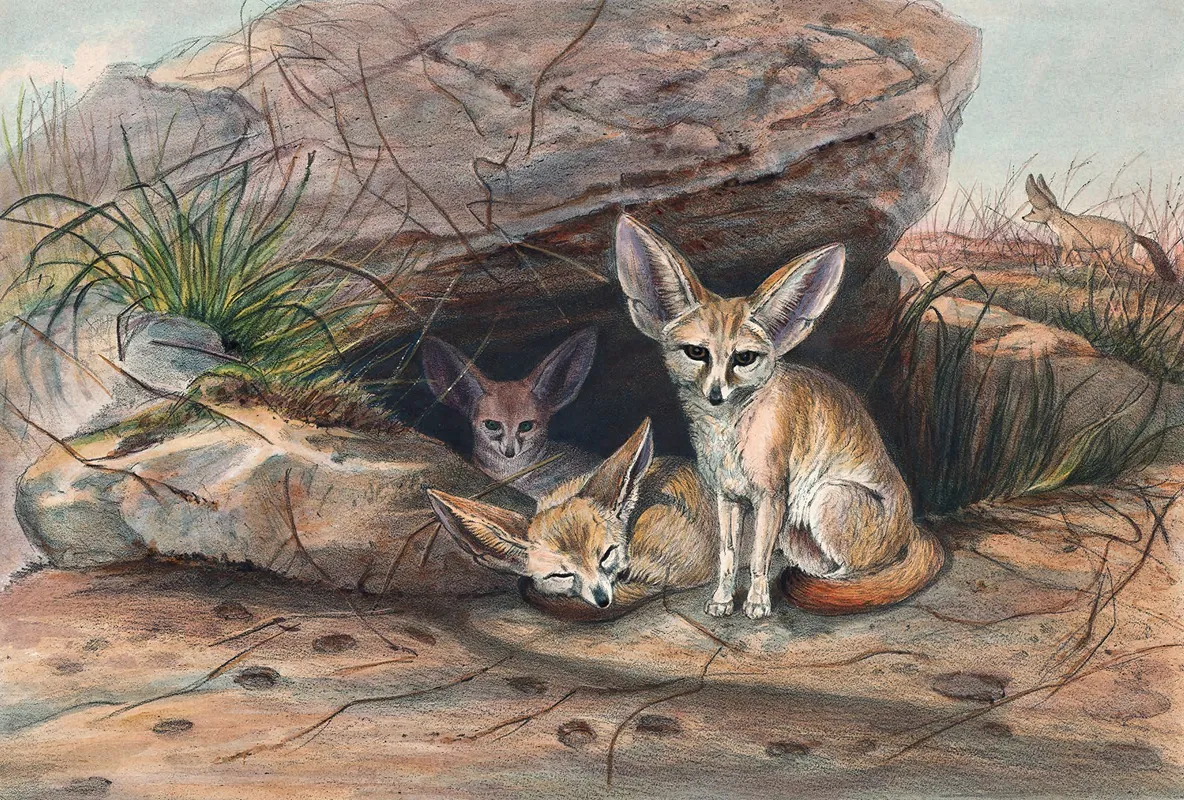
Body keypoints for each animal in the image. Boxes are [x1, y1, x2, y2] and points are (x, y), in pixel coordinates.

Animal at [613, 215, 944, 620]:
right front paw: (723, 598)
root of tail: (911, 527)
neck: (728, 434)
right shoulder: (727, 496)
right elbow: (727, 556)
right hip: (796, 530)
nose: (715, 395)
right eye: (696, 353)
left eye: (744, 358)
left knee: (861, 574)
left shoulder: (771, 497)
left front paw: (757, 601)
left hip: (826, 498)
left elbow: (758, 557)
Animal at [1024, 173, 1176, 282]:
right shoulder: (1074, 249)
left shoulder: (1067, 246)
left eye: (1033, 211)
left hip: (1120, 255)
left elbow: (1062, 260)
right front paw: (1075, 265)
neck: (1060, 222)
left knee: (1145, 267)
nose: (1023, 217)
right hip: (1111, 253)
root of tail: (1134, 234)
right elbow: (1077, 261)